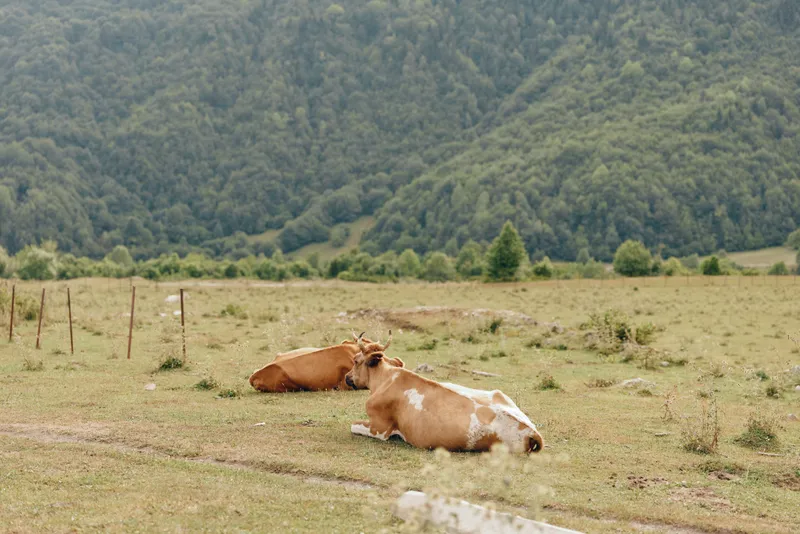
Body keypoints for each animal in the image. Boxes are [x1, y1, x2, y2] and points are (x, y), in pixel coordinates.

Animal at [345, 332, 543, 453]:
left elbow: (353, 425)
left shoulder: (379, 429)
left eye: (356, 360)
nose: (347, 377)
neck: (385, 379)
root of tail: (532, 431)